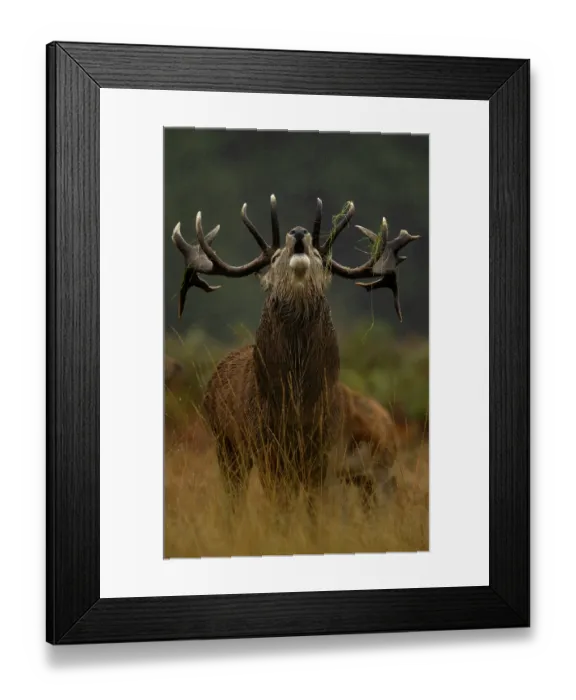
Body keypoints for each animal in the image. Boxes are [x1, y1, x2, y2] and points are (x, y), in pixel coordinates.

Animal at [171, 195, 419, 517]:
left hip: (379, 469)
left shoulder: (326, 453)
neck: (297, 406)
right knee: (235, 497)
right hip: (226, 446)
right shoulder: (267, 449)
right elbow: (281, 507)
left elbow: (316, 511)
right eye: (275, 257)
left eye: (319, 257)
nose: (300, 232)